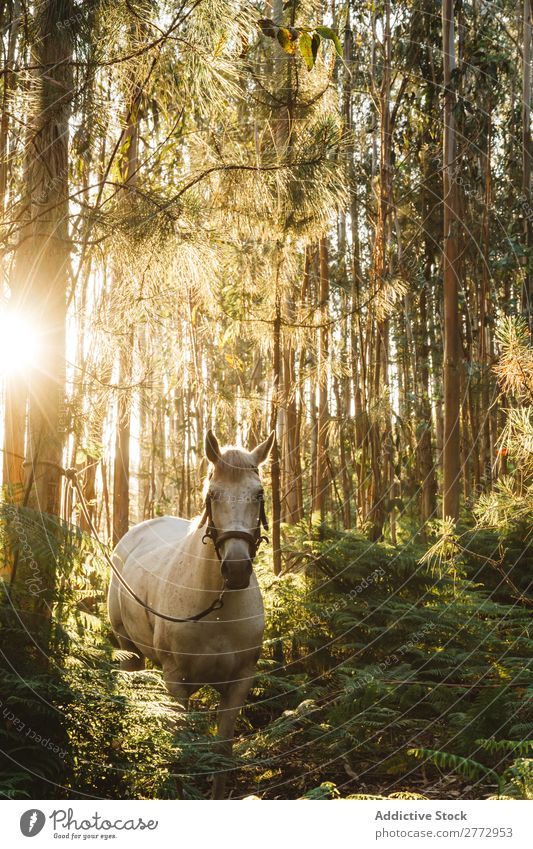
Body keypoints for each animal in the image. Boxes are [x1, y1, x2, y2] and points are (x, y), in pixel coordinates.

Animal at [107, 430, 274, 796]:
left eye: (258, 494)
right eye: (212, 494)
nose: (236, 569)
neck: (217, 607)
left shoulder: (239, 682)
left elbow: (221, 752)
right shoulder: (176, 682)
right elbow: (182, 753)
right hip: (127, 648)